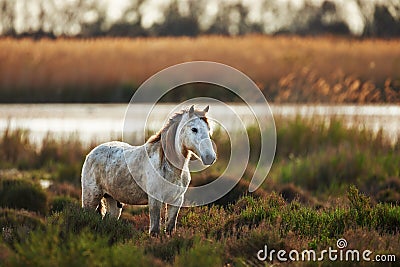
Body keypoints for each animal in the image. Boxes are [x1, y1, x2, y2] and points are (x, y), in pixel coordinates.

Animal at [81, 105, 216, 236]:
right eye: (194, 129)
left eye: (208, 130)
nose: (210, 157)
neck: (169, 167)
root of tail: (91, 153)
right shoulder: (155, 200)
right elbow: (154, 230)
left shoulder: (176, 201)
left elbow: (170, 228)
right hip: (91, 198)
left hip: (113, 199)